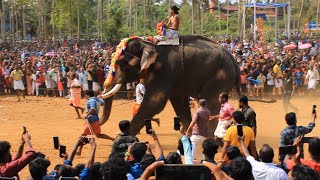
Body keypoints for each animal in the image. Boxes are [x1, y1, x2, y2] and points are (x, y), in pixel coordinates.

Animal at [100, 35, 240, 135]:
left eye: (122, 63)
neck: (148, 43)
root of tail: (232, 58)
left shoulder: (165, 70)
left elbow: (155, 102)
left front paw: (125, 136)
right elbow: (179, 103)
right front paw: (187, 134)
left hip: (219, 77)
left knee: (211, 103)